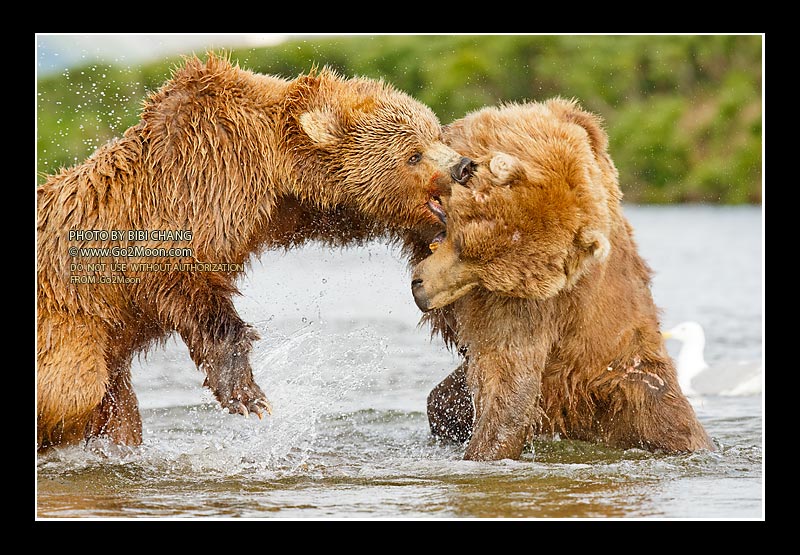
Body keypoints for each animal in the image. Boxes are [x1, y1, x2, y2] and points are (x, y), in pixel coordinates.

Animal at [37, 53, 473, 451]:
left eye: (436, 135)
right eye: (413, 154)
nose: (463, 167)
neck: (272, 168)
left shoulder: (308, 210)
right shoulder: (192, 194)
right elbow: (185, 282)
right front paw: (248, 395)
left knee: (117, 408)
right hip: (68, 319)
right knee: (74, 389)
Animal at [409, 98, 715, 461]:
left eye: (486, 276)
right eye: (461, 244)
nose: (421, 289)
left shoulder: (542, 303)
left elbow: (507, 368)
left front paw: (485, 448)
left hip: (623, 380)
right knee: (442, 403)